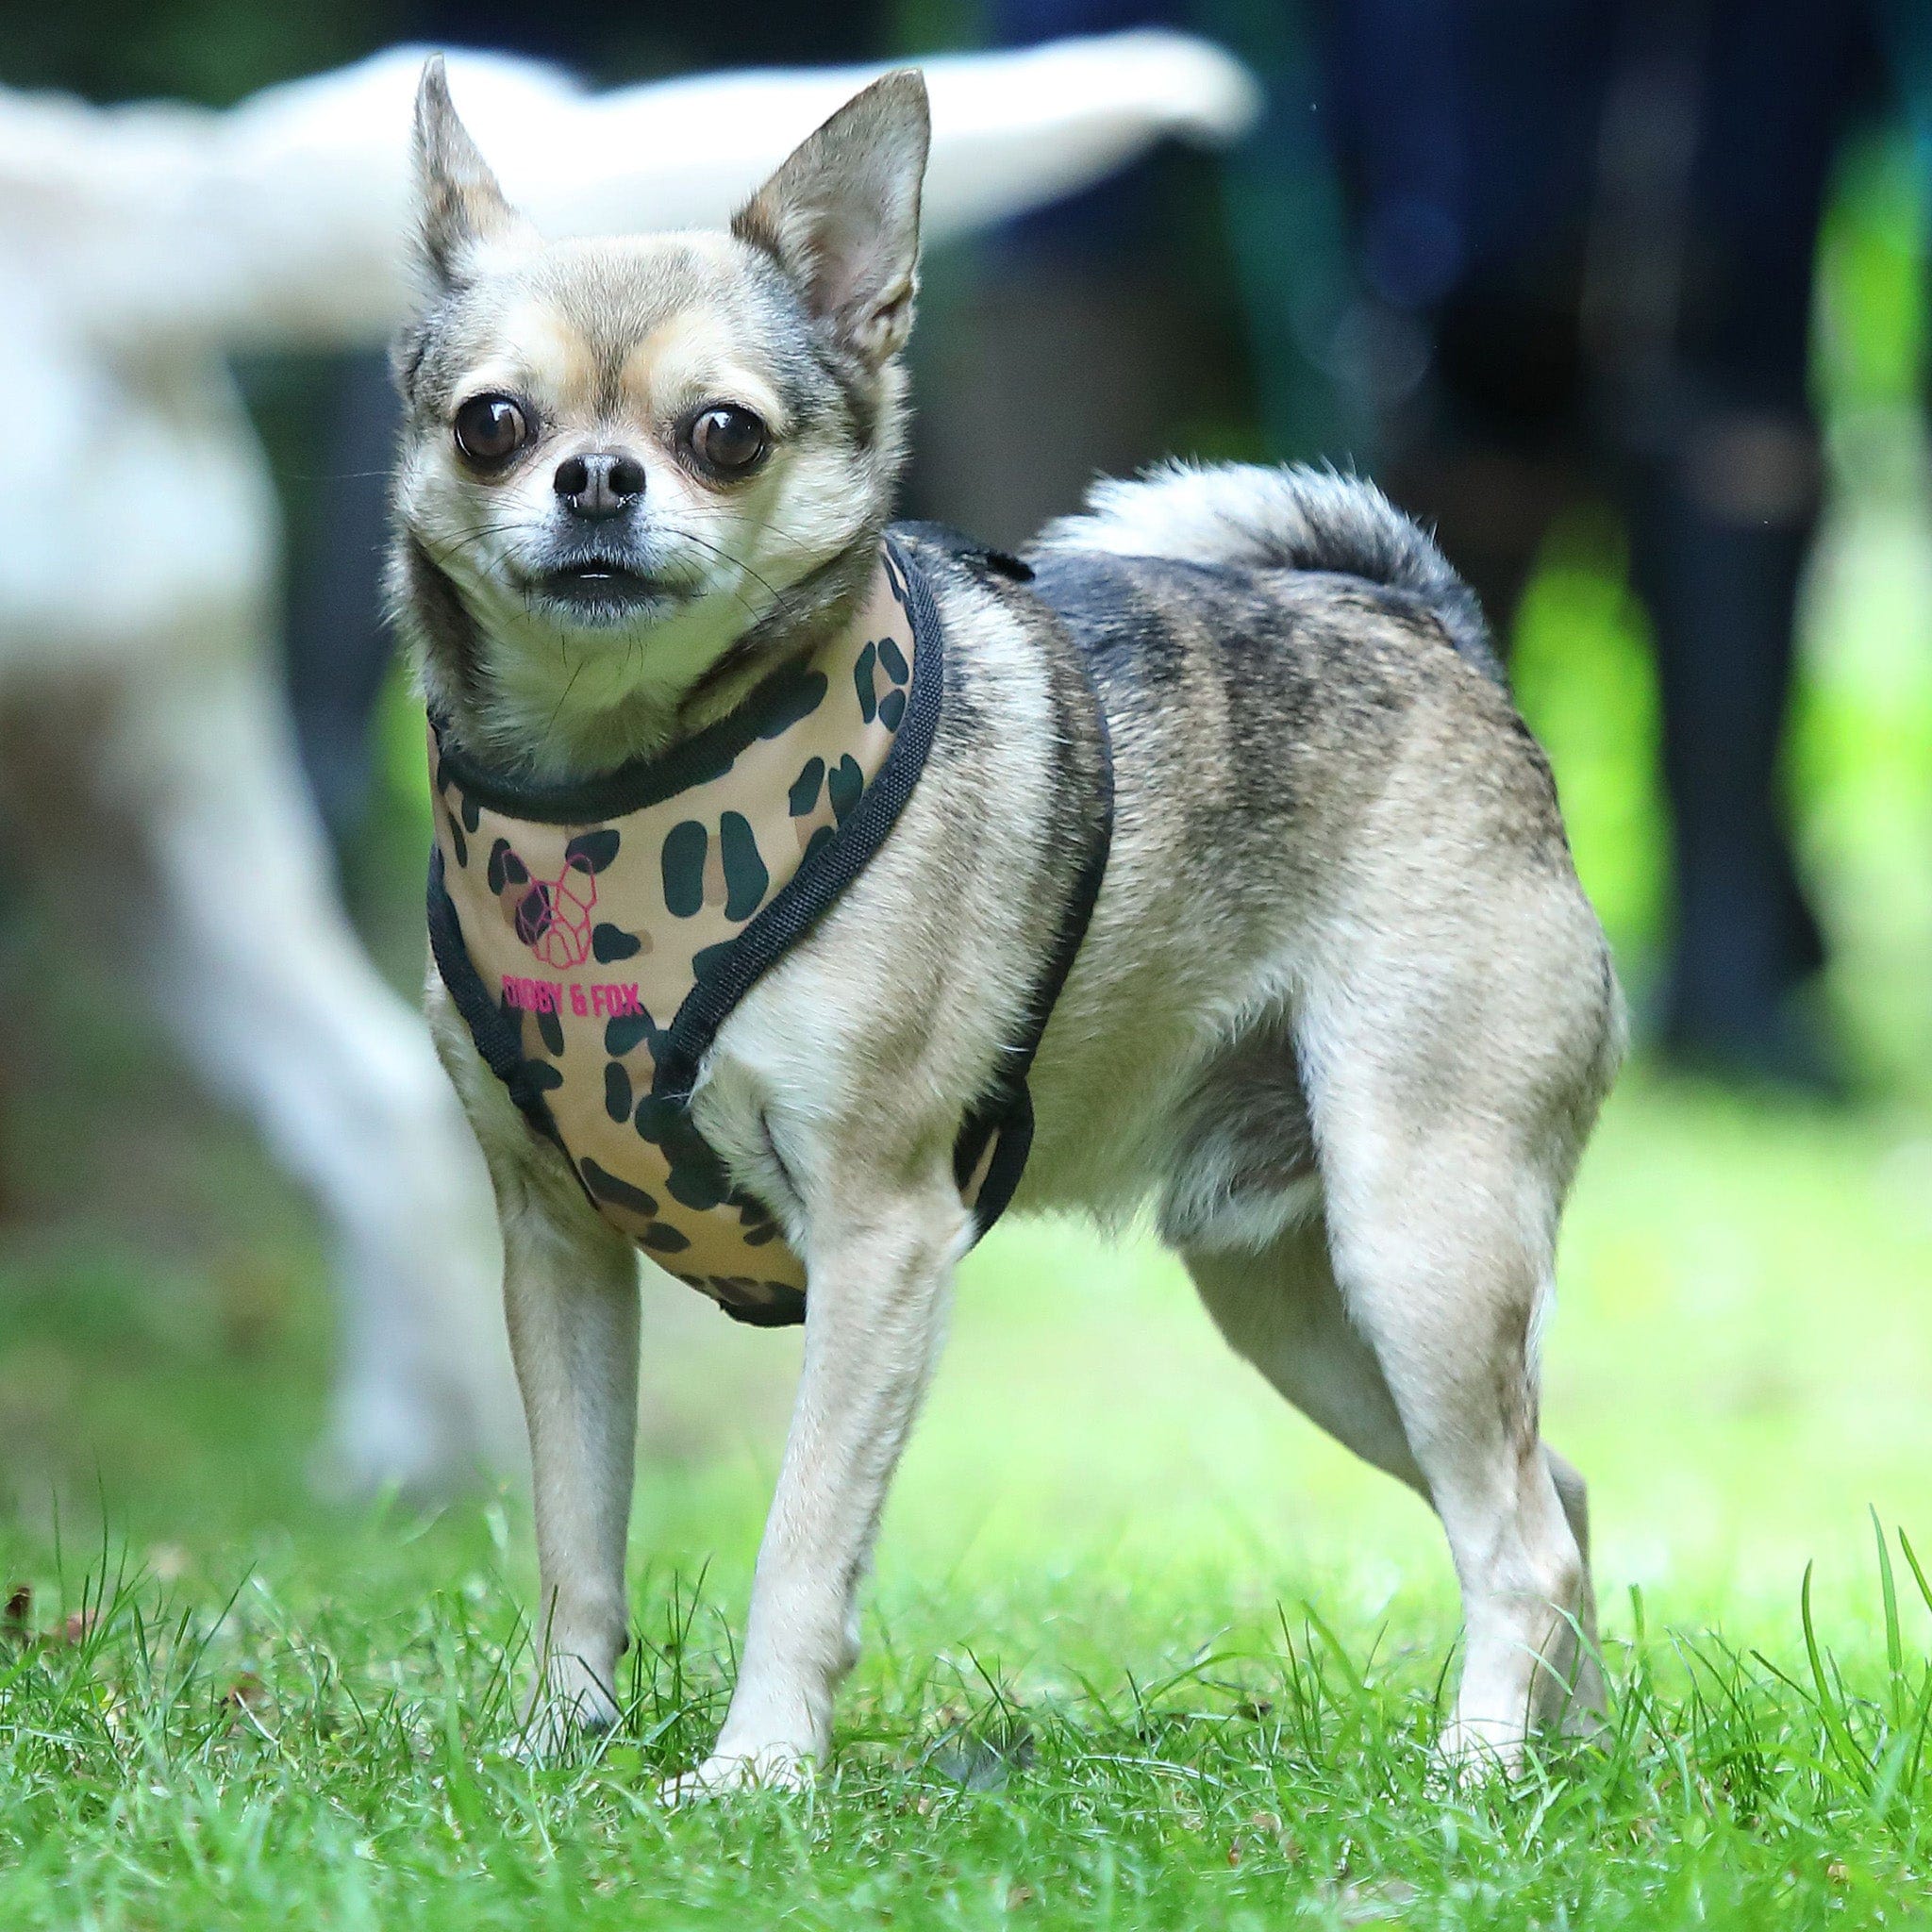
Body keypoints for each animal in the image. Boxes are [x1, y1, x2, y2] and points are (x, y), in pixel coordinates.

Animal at [395, 48, 1630, 1792]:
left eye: (724, 434)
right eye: (492, 425)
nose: (595, 477)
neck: (614, 783)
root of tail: (1428, 628)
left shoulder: (880, 1243)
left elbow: (801, 1540)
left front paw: (756, 1772)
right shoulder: (558, 1247)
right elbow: (579, 1527)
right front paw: (558, 1744)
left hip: (1419, 1244)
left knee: (1513, 1526)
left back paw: (1473, 1765)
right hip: (1303, 1305)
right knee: (1552, 1494)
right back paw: (1562, 1759)